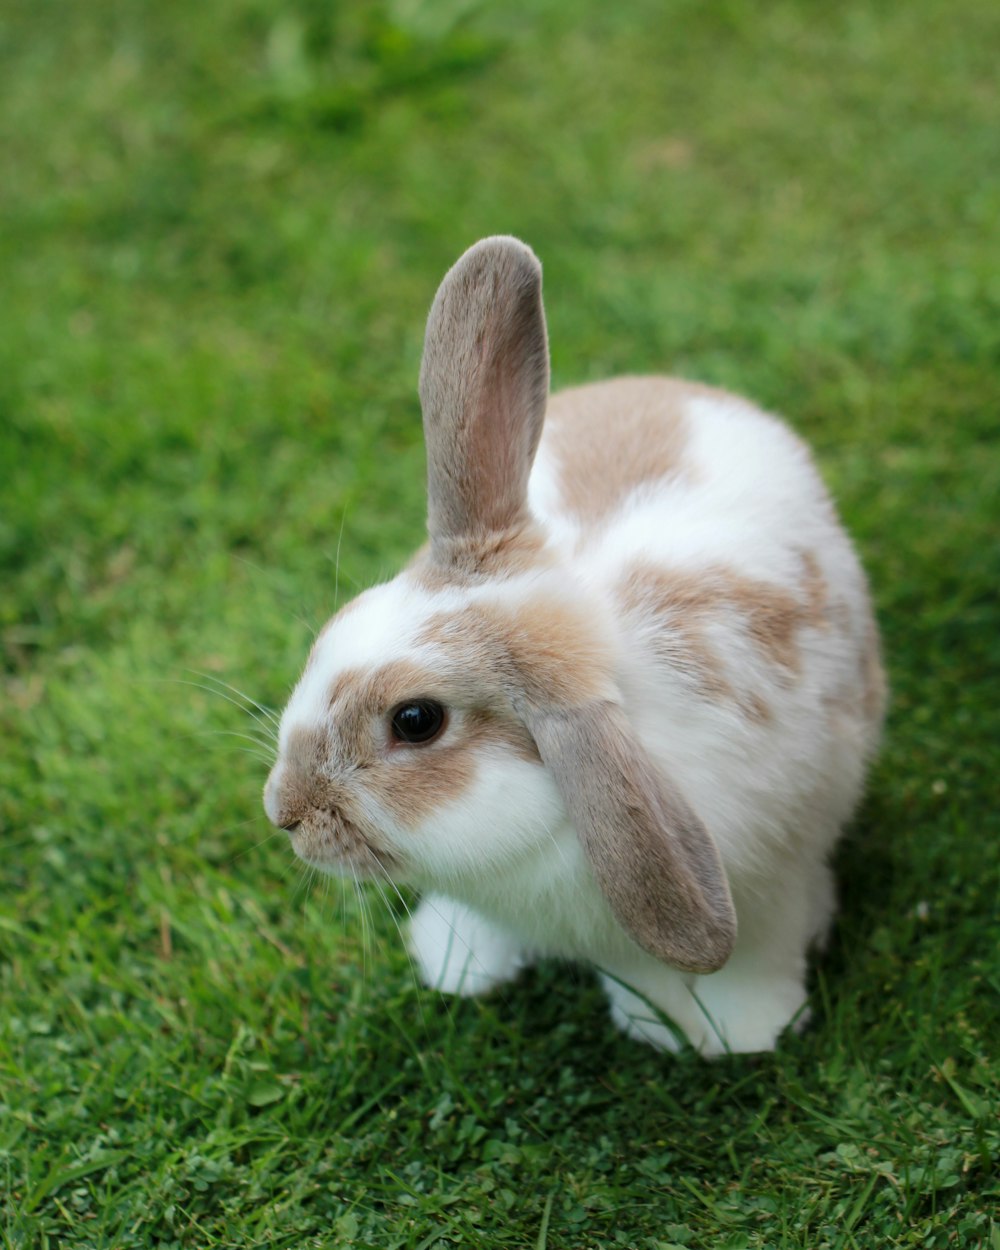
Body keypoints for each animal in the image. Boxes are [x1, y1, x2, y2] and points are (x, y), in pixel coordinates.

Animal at [263, 236, 886, 1055]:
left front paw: (744, 1031)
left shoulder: (769, 882)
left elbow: (754, 957)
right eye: (339, 627)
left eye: (416, 721)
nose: (284, 812)